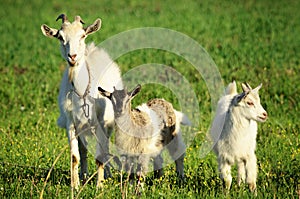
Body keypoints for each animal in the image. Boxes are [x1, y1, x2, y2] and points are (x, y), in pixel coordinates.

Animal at [41, 14, 123, 188]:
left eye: (83, 35)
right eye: (60, 37)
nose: (72, 57)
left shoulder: (100, 122)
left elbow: (100, 154)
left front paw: (99, 186)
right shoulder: (71, 123)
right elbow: (74, 156)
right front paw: (75, 185)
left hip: (107, 124)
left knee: (106, 146)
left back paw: (107, 175)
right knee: (83, 149)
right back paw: (84, 176)